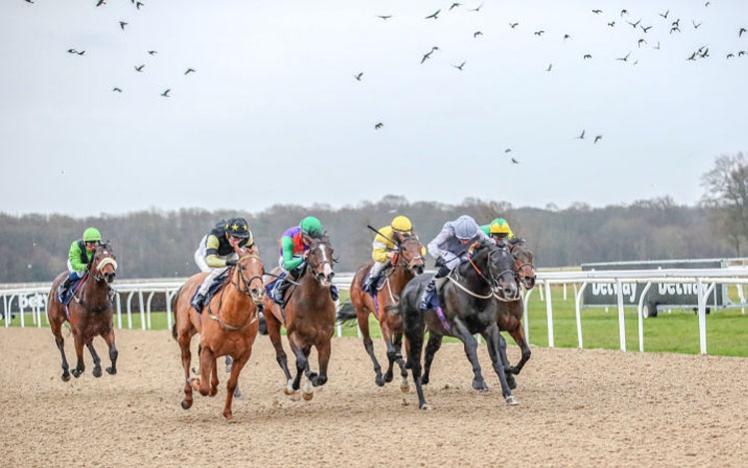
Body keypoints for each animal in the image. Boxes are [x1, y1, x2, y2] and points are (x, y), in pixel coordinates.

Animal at [47, 243, 119, 382]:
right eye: (97, 258)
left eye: (113, 256)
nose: (110, 274)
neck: (94, 303)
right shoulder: (78, 332)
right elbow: (80, 364)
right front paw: (75, 371)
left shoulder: (106, 329)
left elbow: (113, 352)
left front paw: (110, 369)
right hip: (55, 323)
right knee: (60, 341)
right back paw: (66, 371)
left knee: (88, 341)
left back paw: (97, 365)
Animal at [171, 252, 264, 420]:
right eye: (243, 267)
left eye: (262, 268)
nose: (258, 291)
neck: (232, 315)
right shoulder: (207, 347)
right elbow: (203, 387)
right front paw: (195, 380)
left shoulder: (243, 353)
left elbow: (231, 383)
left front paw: (227, 412)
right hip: (184, 334)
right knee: (186, 359)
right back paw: (188, 396)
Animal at [262, 236, 334, 400]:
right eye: (312, 252)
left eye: (331, 251)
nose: (327, 274)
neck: (314, 303)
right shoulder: (293, 334)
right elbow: (300, 362)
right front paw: (300, 384)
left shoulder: (324, 338)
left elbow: (322, 377)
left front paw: (310, 384)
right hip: (271, 321)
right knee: (281, 355)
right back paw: (290, 384)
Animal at [346, 236, 424, 390]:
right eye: (404, 248)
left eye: (420, 247)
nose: (418, 266)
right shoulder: (385, 324)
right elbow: (392, 352)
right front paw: (388, 376)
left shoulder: (401, 325)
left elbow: (398, 350)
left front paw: (404, 378)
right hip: (361, 313)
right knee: (368, 343)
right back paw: (378, 375)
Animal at [404, 241, 520, 410]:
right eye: (494, 262)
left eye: (512, 262)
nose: (510, 289)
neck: (474, 289)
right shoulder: (456, 324)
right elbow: (471, 345)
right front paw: (478, 381)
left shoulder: (490, 327)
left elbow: (496, 358)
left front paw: (508, 394)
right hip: (415, 331)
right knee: (414, 358)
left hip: (435, 332)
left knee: (430, 351)